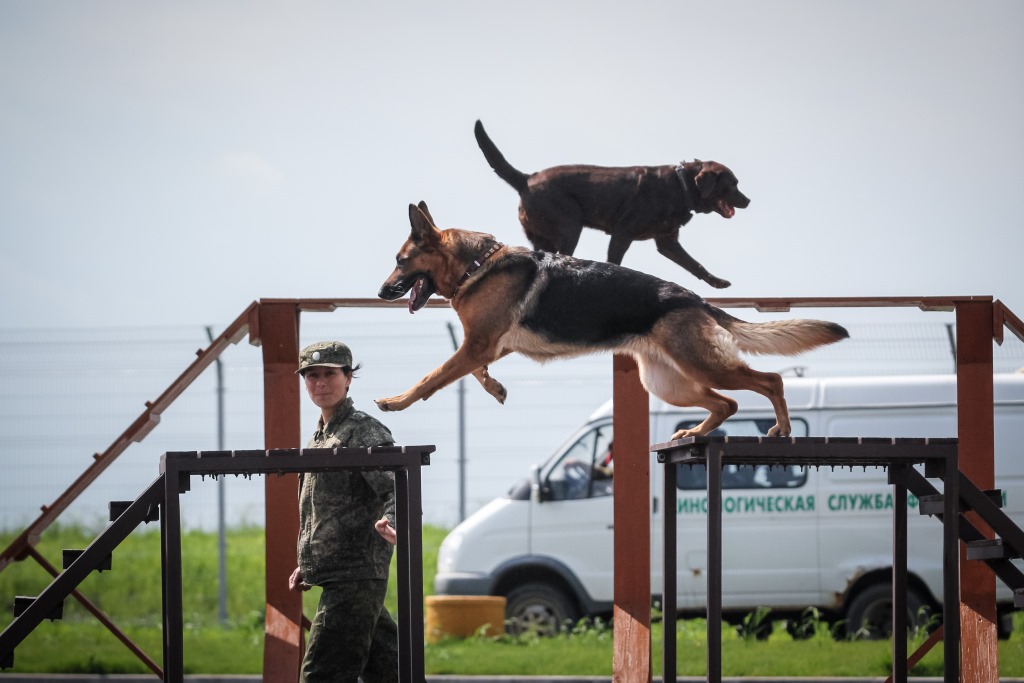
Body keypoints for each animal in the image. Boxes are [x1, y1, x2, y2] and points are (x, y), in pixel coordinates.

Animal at [376, 201, 847, 438]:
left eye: (400, 261)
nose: (380, 293)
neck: (477, 263)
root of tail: (694, 298)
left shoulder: (478, 344)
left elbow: (433, 377)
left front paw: (397, 401)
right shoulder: (487, 345)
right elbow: (471, 372)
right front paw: (495, 387)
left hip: (704, 367)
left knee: (771, 381)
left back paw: (782, 427)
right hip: (668, 384)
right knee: (726, 403)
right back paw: (695, 432)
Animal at [473, 120, 753, 288]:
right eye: (733, 184)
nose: (749, 200)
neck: (680, 185)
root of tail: (526, 179)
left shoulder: (667, 242)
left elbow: (694, 264)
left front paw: (716, 281)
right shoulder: (622, 234)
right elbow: (615, 261)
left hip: (545, 235)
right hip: (569, 227)